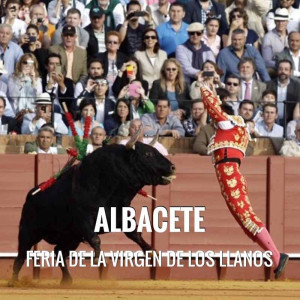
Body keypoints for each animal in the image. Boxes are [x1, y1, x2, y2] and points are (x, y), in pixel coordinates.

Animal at [12, 142, 176, 284]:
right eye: (148, 154)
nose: (172, 167)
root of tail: (30, 196)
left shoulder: (123, 218)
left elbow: (136, 234)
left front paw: (152, 252)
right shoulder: (83, 221)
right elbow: (96, 239)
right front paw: (98, 259)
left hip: (71, 238)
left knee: (58, 252)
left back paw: (67, 280)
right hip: (28, 232)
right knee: (21, 256)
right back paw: (14, 282)